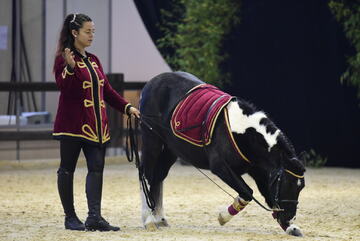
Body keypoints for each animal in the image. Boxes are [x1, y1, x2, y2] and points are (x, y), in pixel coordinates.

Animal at [138, 71, 306, 235]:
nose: (289, 216)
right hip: (151, 141)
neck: (241, 132)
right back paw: (149, 220)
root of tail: (152, 82)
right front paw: (223, 217)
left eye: (301, 187)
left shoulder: (258, 171)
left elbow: (268, 195)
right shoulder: (221, 167)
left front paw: (290, 227)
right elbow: (247, 192)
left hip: (170, 150)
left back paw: (159, 218)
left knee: (158, 177)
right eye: (287, 184)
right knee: (146, 176)